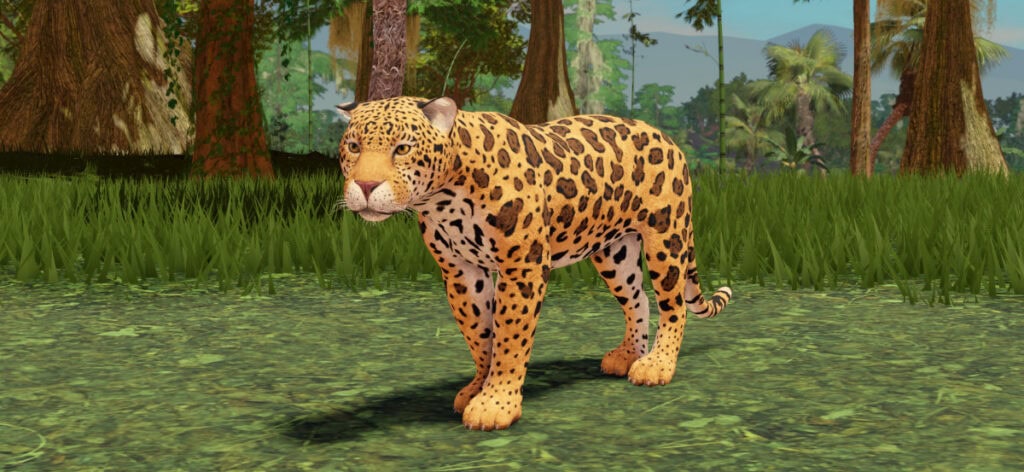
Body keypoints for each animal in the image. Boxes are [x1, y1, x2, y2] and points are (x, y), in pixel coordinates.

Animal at [336, 96, 732, 431]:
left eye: (402, 148)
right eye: (354, 147)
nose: (366, 186)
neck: (444, 198)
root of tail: (667, 138)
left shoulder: (522, 267)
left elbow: (510, 336)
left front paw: (496, 403)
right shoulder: (460, 271)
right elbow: (480, 334)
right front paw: (477, 389)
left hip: (666, 236)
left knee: (673, 304)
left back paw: (656, 365)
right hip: (614, 251)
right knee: (639, 299)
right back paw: (628, 356)